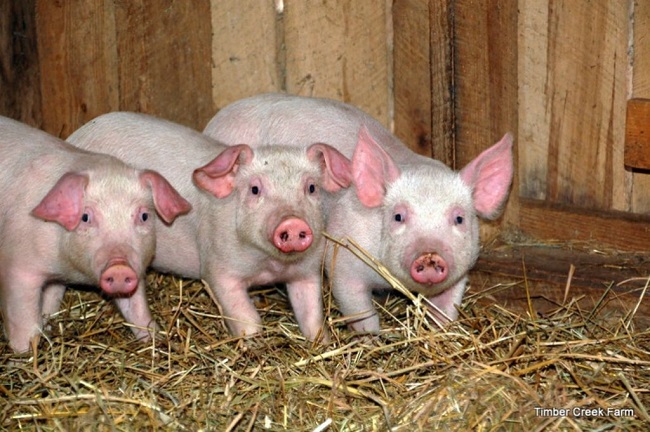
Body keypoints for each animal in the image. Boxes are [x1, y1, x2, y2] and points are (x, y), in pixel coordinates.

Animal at [0, 116, 191, 353]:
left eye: (144, 216)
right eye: (85, 217)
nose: (119, 267)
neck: (71, 269)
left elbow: (136, 308)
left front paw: (154, 337)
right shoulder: (17, 267)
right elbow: (23, 319)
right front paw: (26, 352)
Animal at [67, 112, 352, 342]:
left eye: (311, 188)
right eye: (255, 189)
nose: (292, 222)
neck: (269, 266)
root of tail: (77, 133)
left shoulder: (307, 270)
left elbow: (312, 315)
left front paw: (322, 343)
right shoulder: (217, 266)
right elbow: (247, 318)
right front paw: (253, 344)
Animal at [203, 93, 513, 333]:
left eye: (459, 218)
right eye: (398, 216)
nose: (429, 254)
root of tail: (215, 121)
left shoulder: (461, 273)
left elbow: (446, 311)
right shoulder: (344, 260)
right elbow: (360, 311)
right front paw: (373, 339)